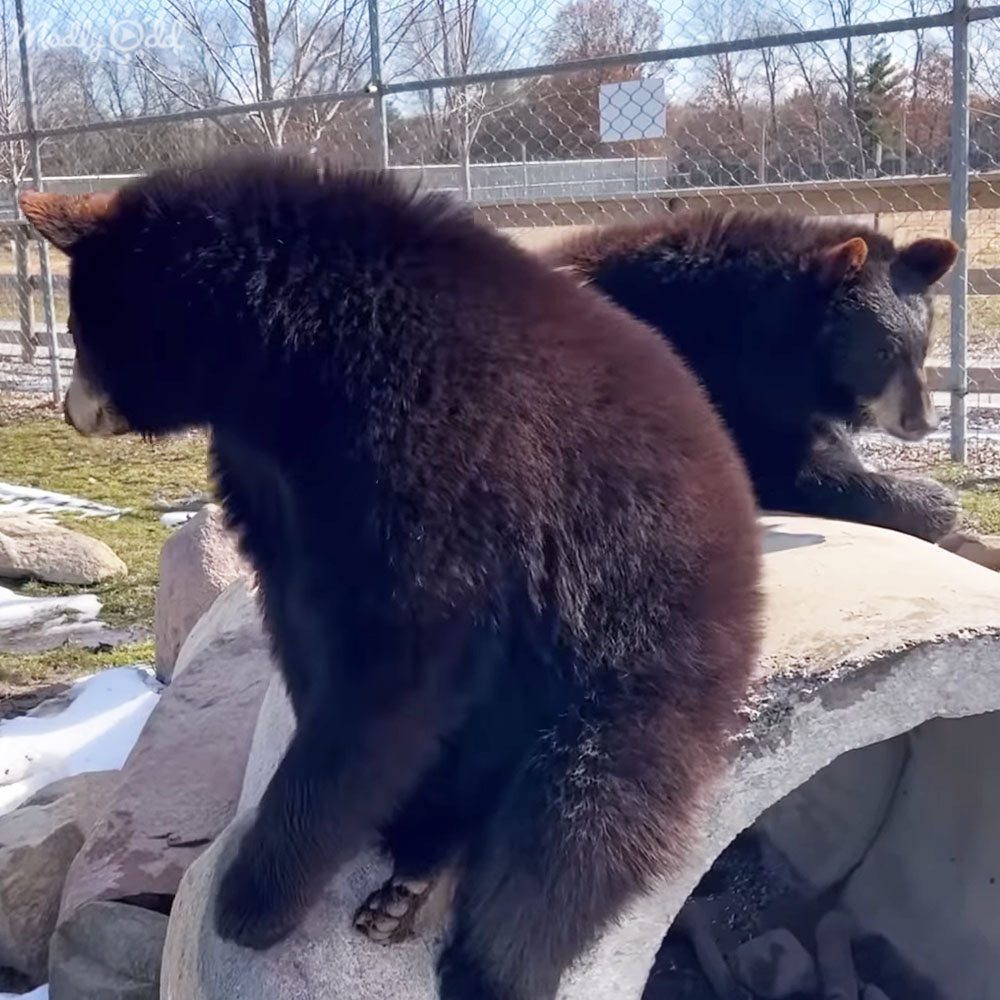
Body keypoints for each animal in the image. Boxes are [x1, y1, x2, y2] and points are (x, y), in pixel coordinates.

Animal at [21, 157, 760, 1000]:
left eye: (80, 330)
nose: (72, 409)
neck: (283, 369)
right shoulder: (271, 483)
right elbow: (304, 630)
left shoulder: (434, 450)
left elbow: (396, 665)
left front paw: (254, 895)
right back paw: (421, 865)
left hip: (644, 628)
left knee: (586, 809)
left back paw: (483, 956)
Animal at [544, 209, 960, 543]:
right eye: (881, 352)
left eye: (922, 348)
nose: (923, 421)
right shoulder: (722, 382)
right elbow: (780, 464)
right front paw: (933, 500)